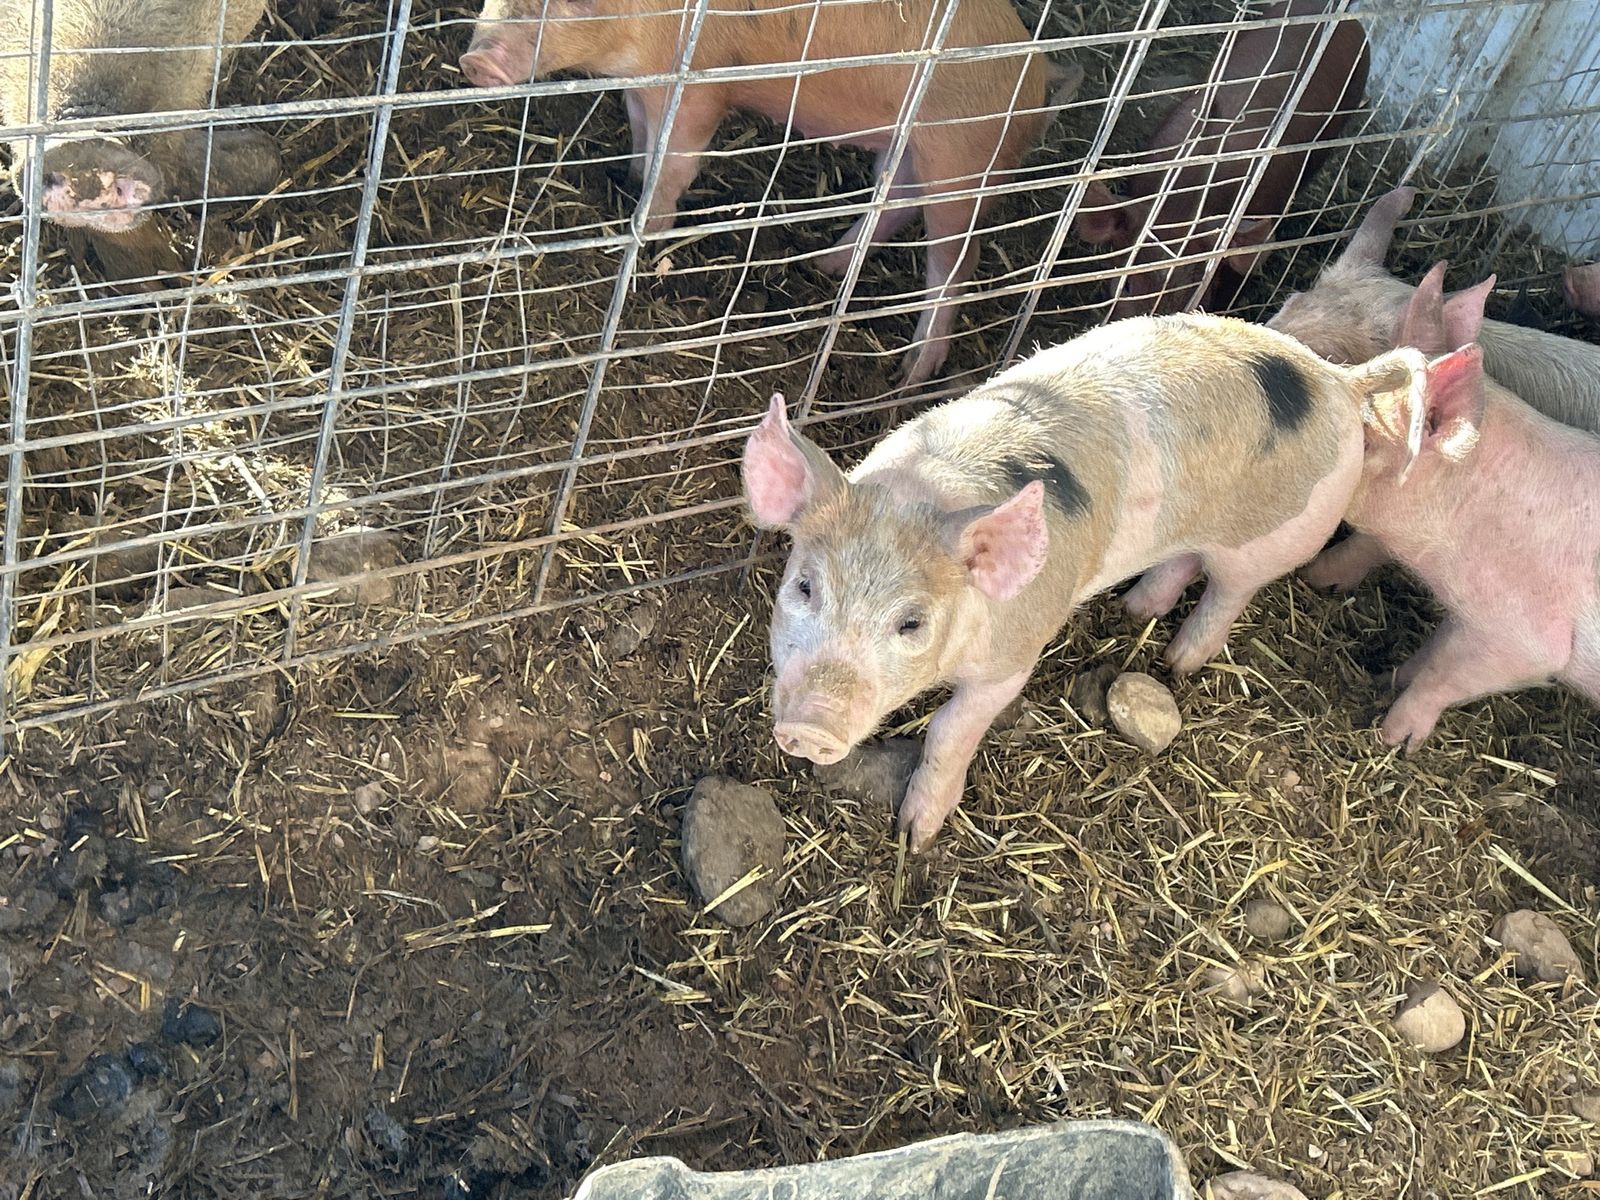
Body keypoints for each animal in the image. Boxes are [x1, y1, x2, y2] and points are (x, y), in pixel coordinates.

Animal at [460, 0, 1080, 387]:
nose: (476, 61)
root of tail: (1041, 74)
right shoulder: (644, 85)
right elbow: (641, 134)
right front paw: (630, 180)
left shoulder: (701, 87)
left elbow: (676, 162)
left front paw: (642, 231)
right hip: (910, 150)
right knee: (896, 202)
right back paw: (821, 263)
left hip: (963, 158)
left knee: (956, 260)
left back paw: (909, 374)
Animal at [741, 313, 1424, 850]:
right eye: (804, 587)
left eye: (911, 622)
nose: (809, 727)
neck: (927, 493)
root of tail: (1340, 379)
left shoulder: (1015, 653)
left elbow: (948, 731)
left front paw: (916, 837)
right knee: (1183, 560)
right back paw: (1134, 609)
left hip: (1273, 539)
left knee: (1229, 591)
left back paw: (1178, 661)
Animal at [1304, 263, 1600, 748]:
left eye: (1363, 440)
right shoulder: (1470, 612)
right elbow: (1435, 651)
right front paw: (1385, 678)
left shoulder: (1528, 639)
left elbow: (1445, 676)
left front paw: (1393, 739)